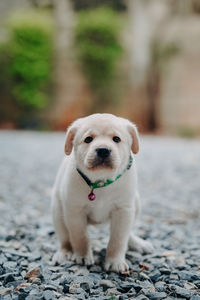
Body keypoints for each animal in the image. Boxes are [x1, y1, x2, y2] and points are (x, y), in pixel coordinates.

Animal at [51, 112, 153, 272]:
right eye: (88, 139)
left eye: (116, 139)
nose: (103, 150)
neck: (100, 181)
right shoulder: (74, 211)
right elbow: (80, 236)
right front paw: (82, 256)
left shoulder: (123, 210)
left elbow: (118, 239)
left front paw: (115, 261)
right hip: (57, 212)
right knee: (65, 239)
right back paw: (64, 253)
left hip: (136, 204)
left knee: (128, 233)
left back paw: (138, 243)